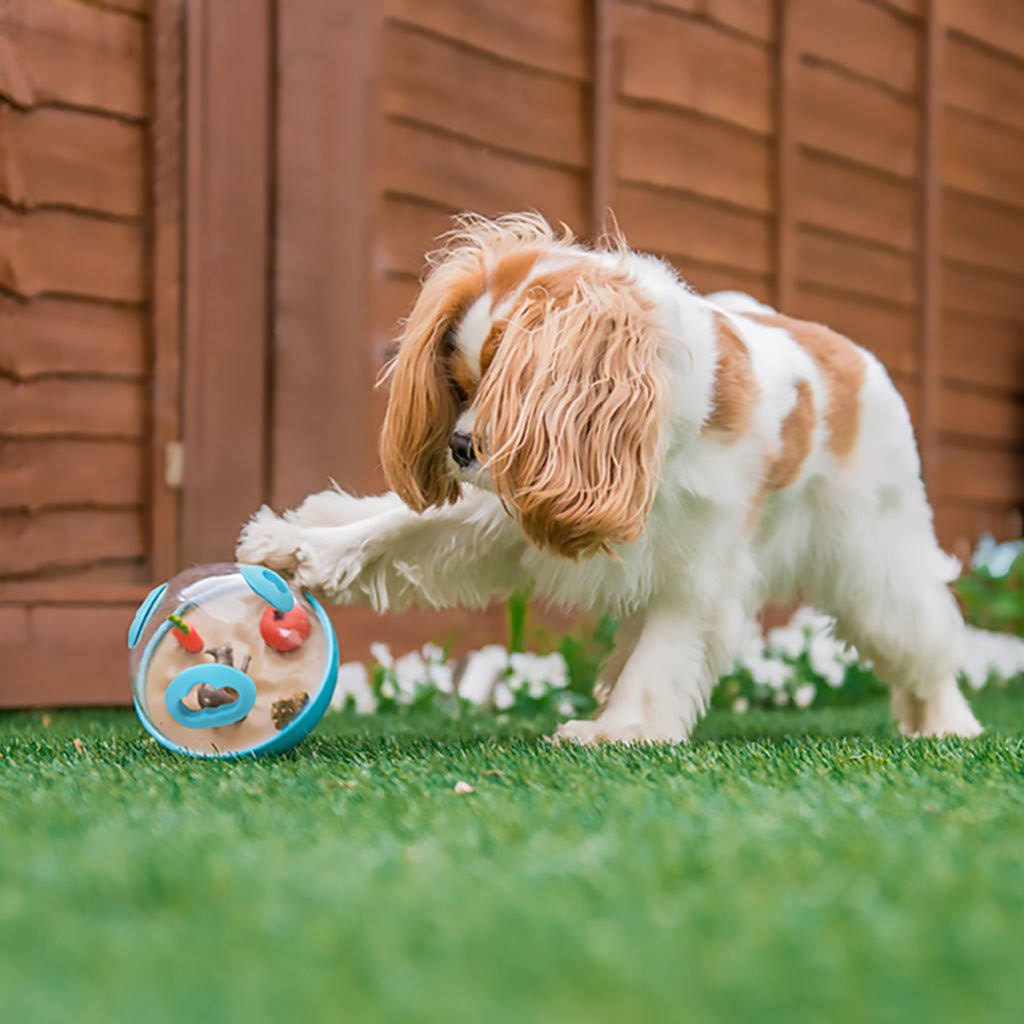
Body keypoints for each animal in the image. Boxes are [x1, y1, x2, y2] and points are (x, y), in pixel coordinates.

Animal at [235, 214, 978, 745]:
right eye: (461, 386)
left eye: (506, 393)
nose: (460, 446)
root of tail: (854, 355)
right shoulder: (522, 502)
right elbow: (397, 525)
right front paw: (301, 548)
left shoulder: (700, 573)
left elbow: (664, 654)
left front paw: (622, 729)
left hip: (875, 562)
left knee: (925, 641)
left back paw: (946, 725)